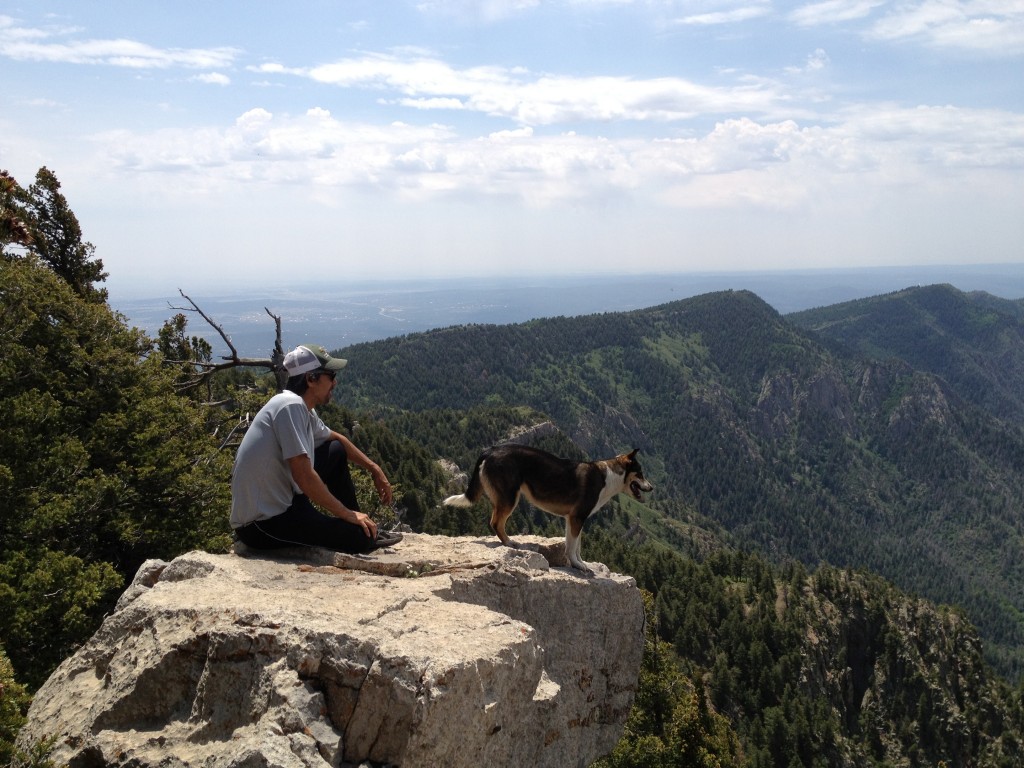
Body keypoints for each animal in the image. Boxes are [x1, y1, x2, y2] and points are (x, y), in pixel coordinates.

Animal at [442, 444, 651, 573]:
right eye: (640, 473)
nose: (652, 488)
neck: (608, 477)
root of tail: (490, 450)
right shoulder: (577, 518)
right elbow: (573, 547)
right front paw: (577, 565)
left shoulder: (572, 519)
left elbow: (574, 545)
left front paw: (579, 563)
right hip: (509, 497)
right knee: (495, 522)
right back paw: (510, 543)